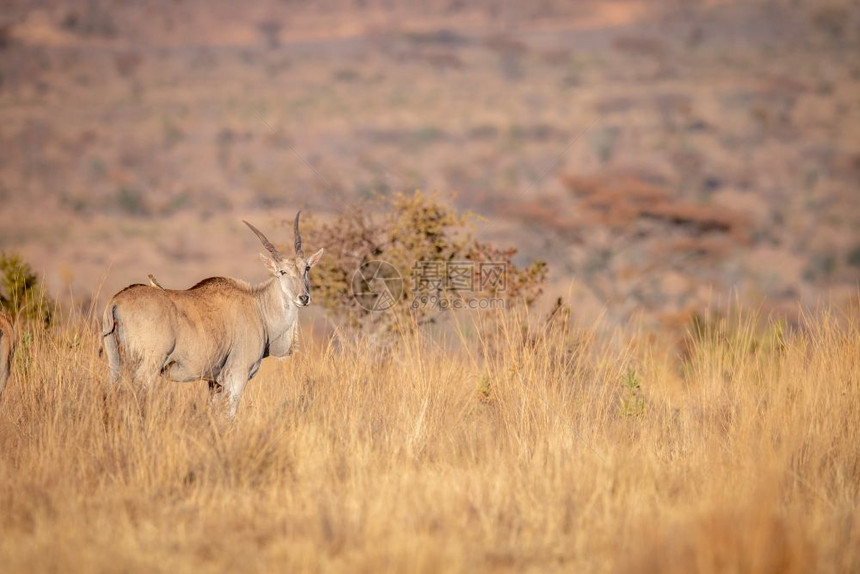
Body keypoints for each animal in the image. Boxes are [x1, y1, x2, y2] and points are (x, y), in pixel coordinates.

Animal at [101, 214, 322, 416]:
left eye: (307, 268)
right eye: (283, 272)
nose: (304, 297)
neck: (259, 306)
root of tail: (116, 301)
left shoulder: (214, 382)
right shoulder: (237, 375)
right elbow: (230, 414)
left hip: (115, 364)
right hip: (149, 365)